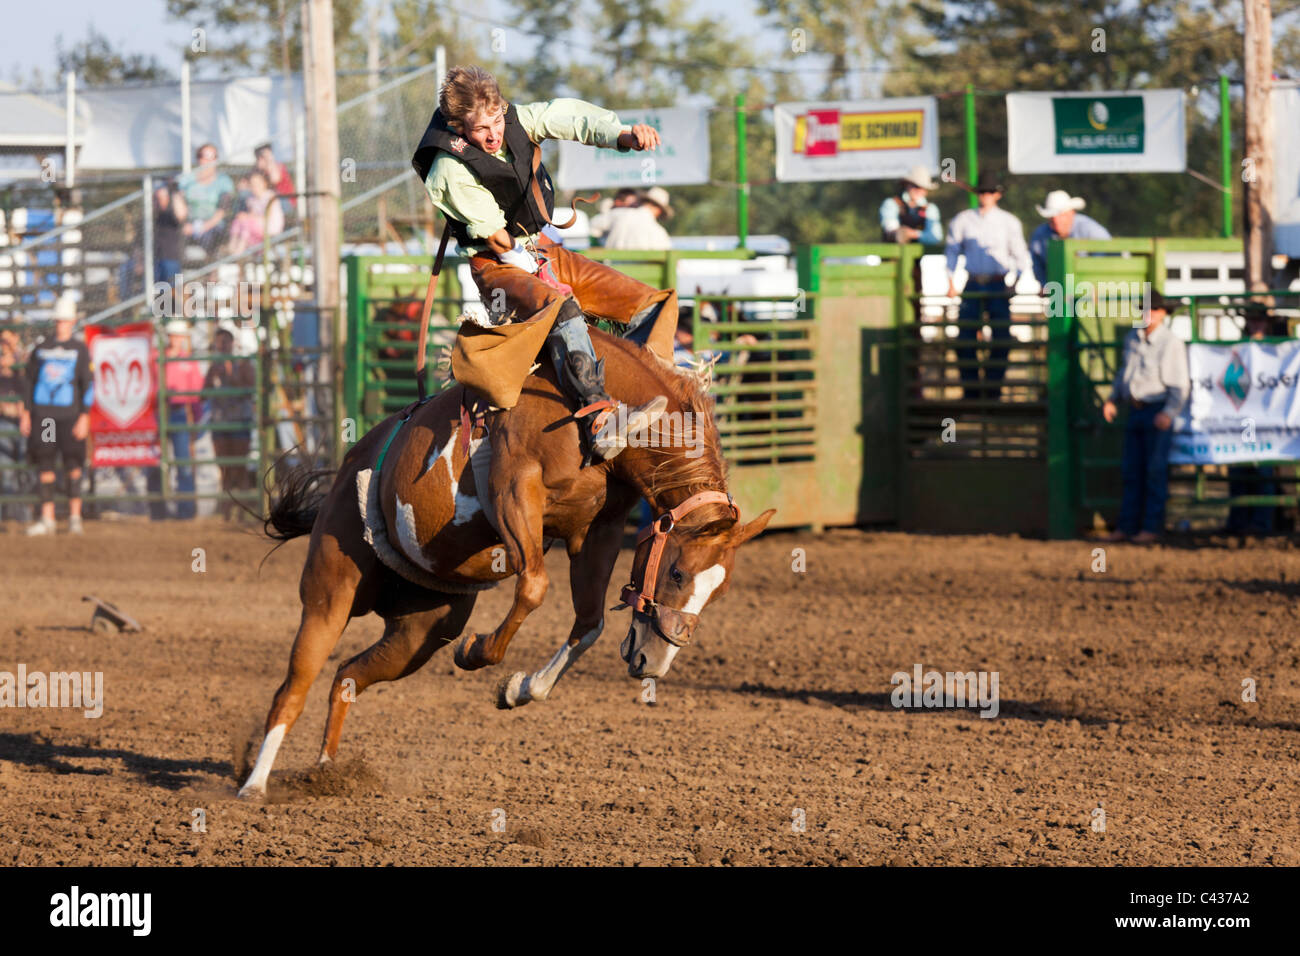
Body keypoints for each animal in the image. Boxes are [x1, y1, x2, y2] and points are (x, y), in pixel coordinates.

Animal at [236, 329, 769, 801]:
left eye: (718, 593)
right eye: (677, 573)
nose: (652, 663)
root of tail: (350, 466)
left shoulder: (597, 529)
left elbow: (589, 622)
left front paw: (519, 688)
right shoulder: (514, 490)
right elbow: (534, 587)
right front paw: (478, 652)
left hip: (420, 632)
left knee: (347, 676)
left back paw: (326, 771)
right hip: (331, 592)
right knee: (293, 688)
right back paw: (254, 784)